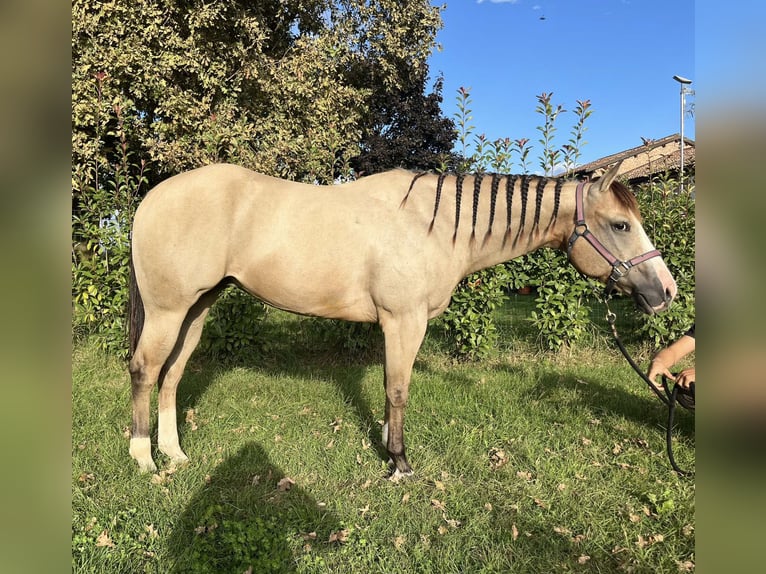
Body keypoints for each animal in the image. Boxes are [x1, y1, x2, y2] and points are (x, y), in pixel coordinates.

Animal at [127, 161, 680, 476]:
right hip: (168, 311)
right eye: (621, 224)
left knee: (172, 375)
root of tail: (152, 198)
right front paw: (399, 462)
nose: (667, 292)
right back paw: (143, 458)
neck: (435, 225)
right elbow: (397, 389)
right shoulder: (403, 322)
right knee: (145, 371)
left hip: (196, 309)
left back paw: (174, 453)